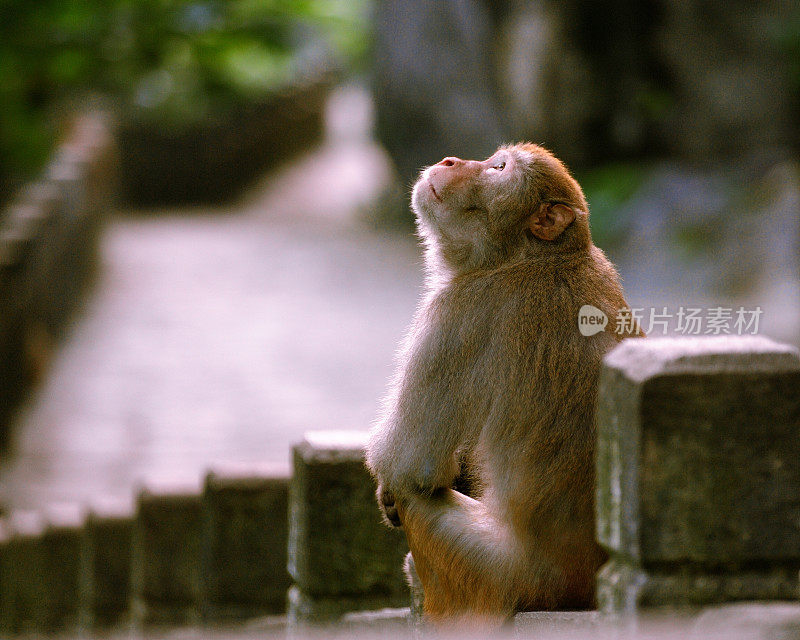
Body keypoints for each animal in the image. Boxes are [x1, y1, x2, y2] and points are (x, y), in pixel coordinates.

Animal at [366, 141, 648, 624]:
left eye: (498, 169)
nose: (450, 162)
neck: (538, 256)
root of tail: (580, 591)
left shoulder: (457, 314)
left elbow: (411, 465)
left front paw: (391, 485)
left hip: (495, 577)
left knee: (418, 501)